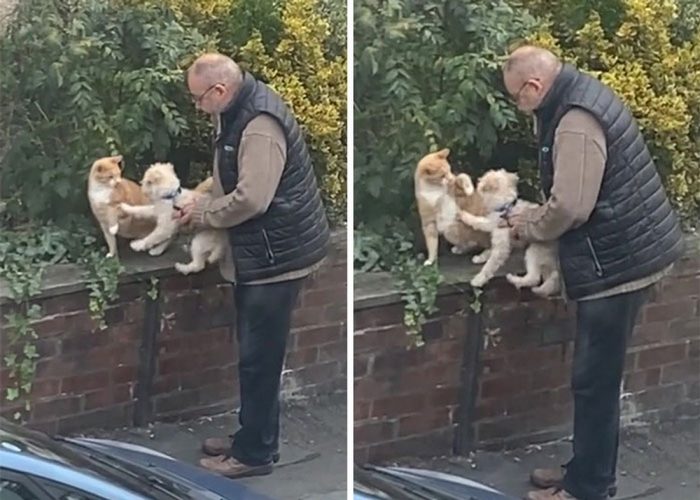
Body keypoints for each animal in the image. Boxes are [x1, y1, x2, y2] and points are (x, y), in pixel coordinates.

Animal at [460, 170, 556, 298]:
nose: (477, 182)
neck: (506, 208)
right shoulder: (495, 228)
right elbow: (482, 228)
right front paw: (480, 257)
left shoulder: (500, 242)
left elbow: (489, 265)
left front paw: (478, 279)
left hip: (534, 251)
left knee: (534, 278)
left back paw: (513, 279)